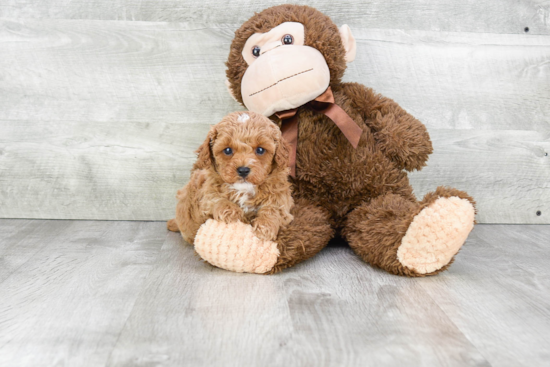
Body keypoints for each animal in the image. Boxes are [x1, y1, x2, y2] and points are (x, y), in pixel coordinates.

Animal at [168, 112, 296, 244]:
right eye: (228, 150)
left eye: (260, 150)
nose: (243, 170)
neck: (244, 188)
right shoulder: (206, 196)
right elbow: (217, 200)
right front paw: (234, 213)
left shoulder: (282, 198)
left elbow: (274, 208)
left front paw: (265, 227)